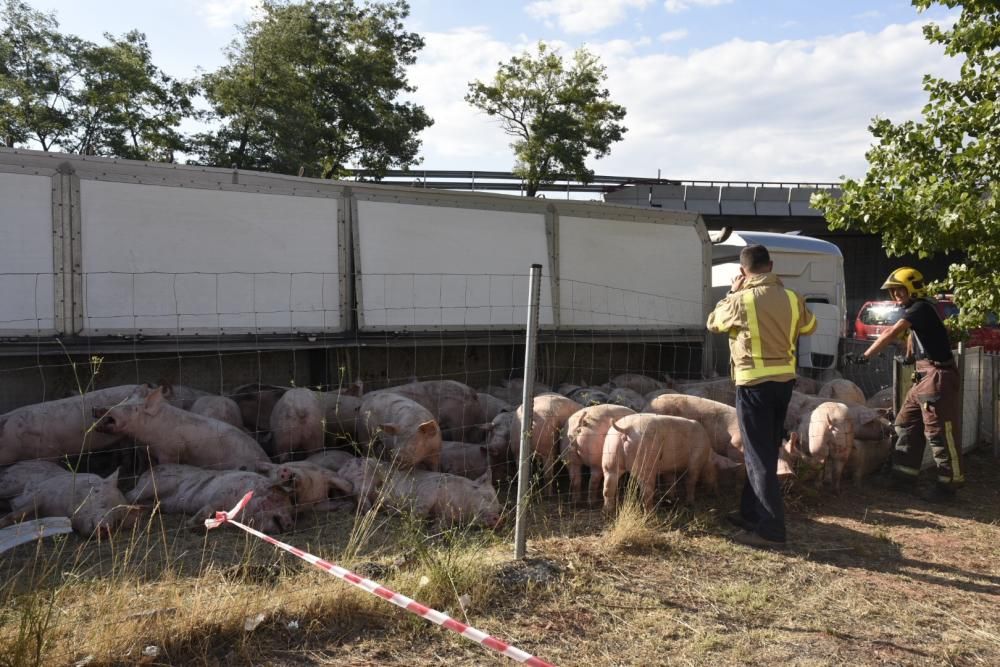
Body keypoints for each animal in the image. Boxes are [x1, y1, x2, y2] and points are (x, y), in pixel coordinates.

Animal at [0, 462, 139, 536]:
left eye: (118, 519)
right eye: (103, 504)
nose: (105, 529)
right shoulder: (41, 493)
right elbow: (15, 513)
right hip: (11, 483)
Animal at [123, 464, 292, 532]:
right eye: (277, 499)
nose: (290, 524)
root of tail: (146, 472)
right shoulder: (218, 497)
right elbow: (206, 510)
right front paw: (189, 525)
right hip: (152, 486)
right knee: (129, 495)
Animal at [338, 460, 500, 528]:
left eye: (498, 504)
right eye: (487, 497)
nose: (499, 518)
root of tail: (343, 468)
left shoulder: (445, 515)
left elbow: (443, 523)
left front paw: (435, 528)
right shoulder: (428, 490)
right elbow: (421, 508)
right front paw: (413, 522)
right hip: (365, 476)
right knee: (358, 493)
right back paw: (371, 513)